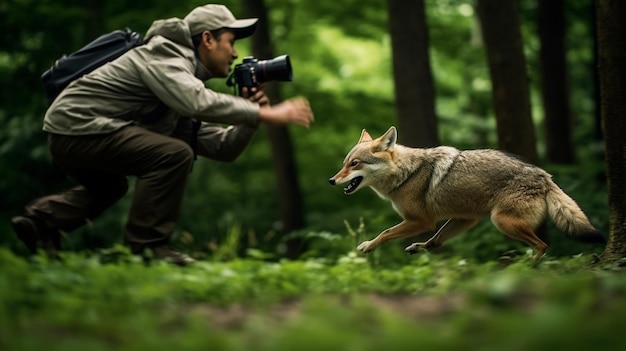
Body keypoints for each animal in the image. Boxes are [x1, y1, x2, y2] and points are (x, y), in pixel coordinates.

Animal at [330, 126, 604, 262]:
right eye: (344, 164)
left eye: (354, 164)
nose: (331, 180)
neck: (406, 174)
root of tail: (546, 177)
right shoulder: (462, 218)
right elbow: (434, 239)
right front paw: (417, 246)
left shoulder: (420, 221)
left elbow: (386, 232)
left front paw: (367, 246)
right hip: (484, 220)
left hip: (502, 221)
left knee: (542, 245)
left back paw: (527, 268)